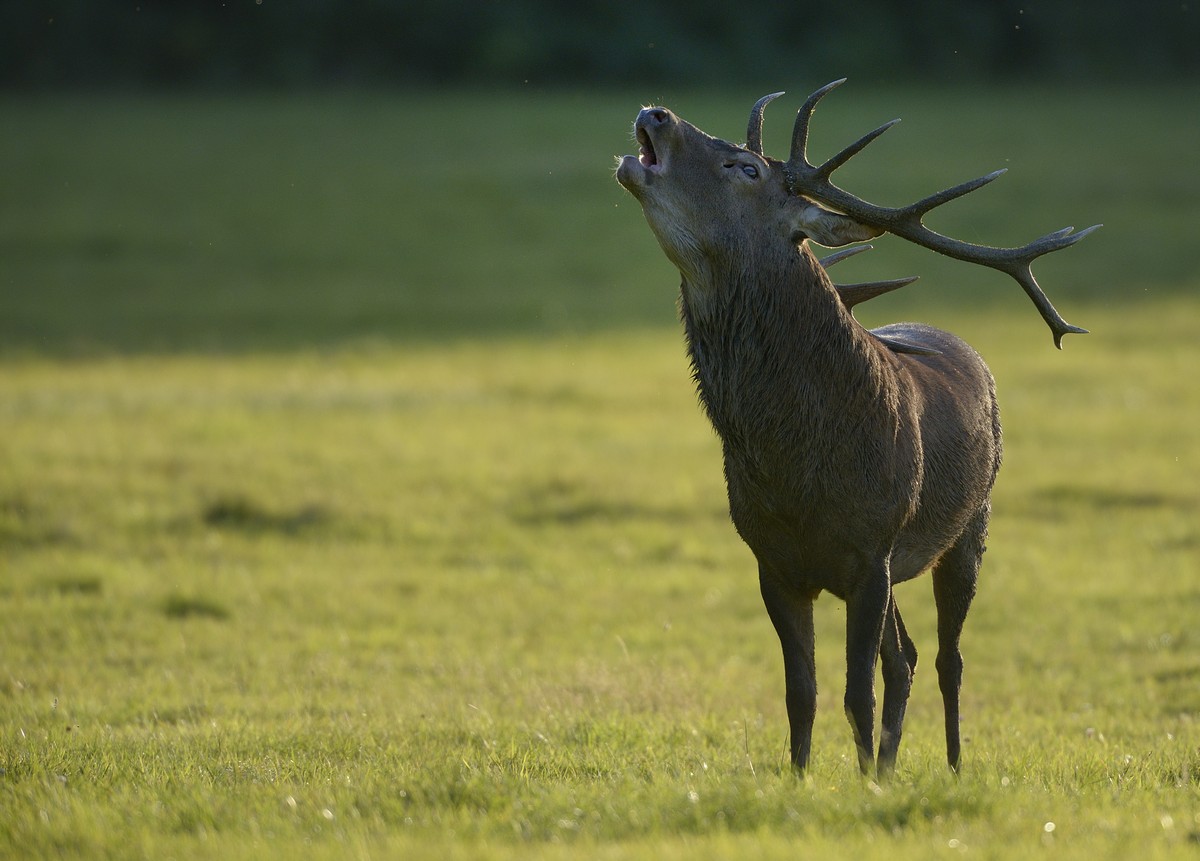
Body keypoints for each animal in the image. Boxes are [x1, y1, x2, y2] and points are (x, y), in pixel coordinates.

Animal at [619, 82, 1099, 781]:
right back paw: (891, 768)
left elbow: (856, 689)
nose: (656, 113)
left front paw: (862, 784)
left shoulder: (872, 550)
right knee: (906, 657)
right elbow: (803, 691)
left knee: (947, 659)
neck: (797, 469)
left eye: (746, 167)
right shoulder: (773, 561)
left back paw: (953, 768)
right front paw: (807, 781)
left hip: (969, 525)